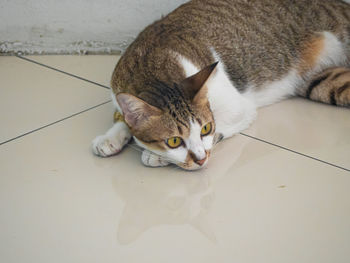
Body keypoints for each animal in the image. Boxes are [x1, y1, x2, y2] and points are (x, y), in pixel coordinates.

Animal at [92, 0, 350, 171]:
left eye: (205, 128)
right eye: (174, 140)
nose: (200, 160)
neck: (152, 67)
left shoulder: (238, 108)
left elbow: (217, 131)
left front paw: (157, 156)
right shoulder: (118, 89)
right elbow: (123, 117)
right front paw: (112, 137)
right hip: (322, 83)